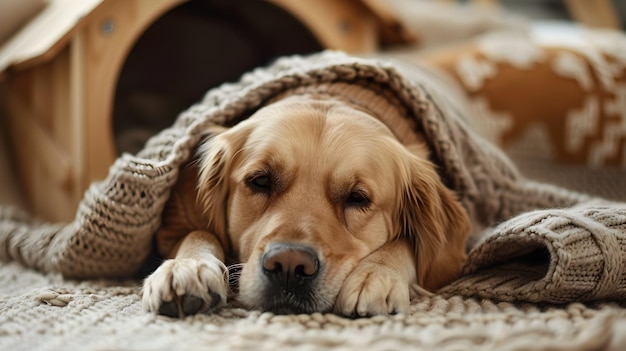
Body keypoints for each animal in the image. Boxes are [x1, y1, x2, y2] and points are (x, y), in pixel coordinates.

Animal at [139, 94, 466, 320]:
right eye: (260, 181)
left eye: (357, 198)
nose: (289, 265)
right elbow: (198, 232)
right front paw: (188, 267)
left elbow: (408, 244)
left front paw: (377, 275)